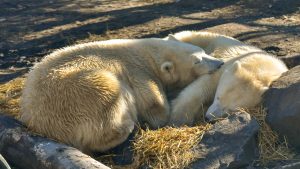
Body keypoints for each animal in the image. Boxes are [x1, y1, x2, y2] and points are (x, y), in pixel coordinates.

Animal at [19, 37, 223, 153]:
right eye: (197, 61)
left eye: (203, 52)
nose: (219, 63)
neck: (146, 54)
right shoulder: (138, 72)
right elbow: (154, 105)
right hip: (78, 93)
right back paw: (127, 126)